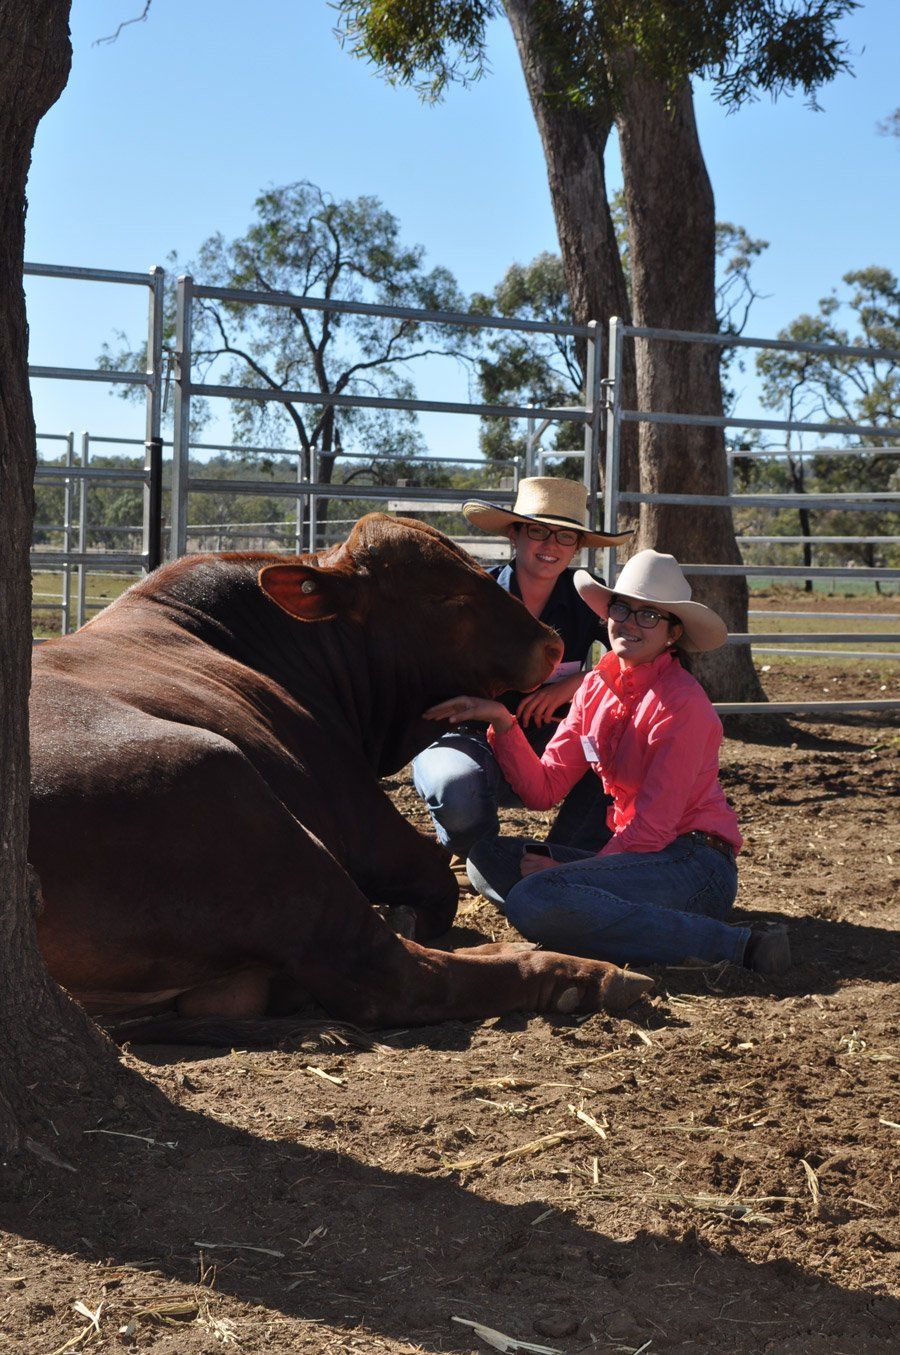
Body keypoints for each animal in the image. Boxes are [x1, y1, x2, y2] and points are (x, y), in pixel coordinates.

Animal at [29, 514, 652, 1042]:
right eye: (445, 597)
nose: (551, 642)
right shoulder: (368, 824)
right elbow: (439, 883)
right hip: (243, 804)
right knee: (395, 976)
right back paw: (586, 977)